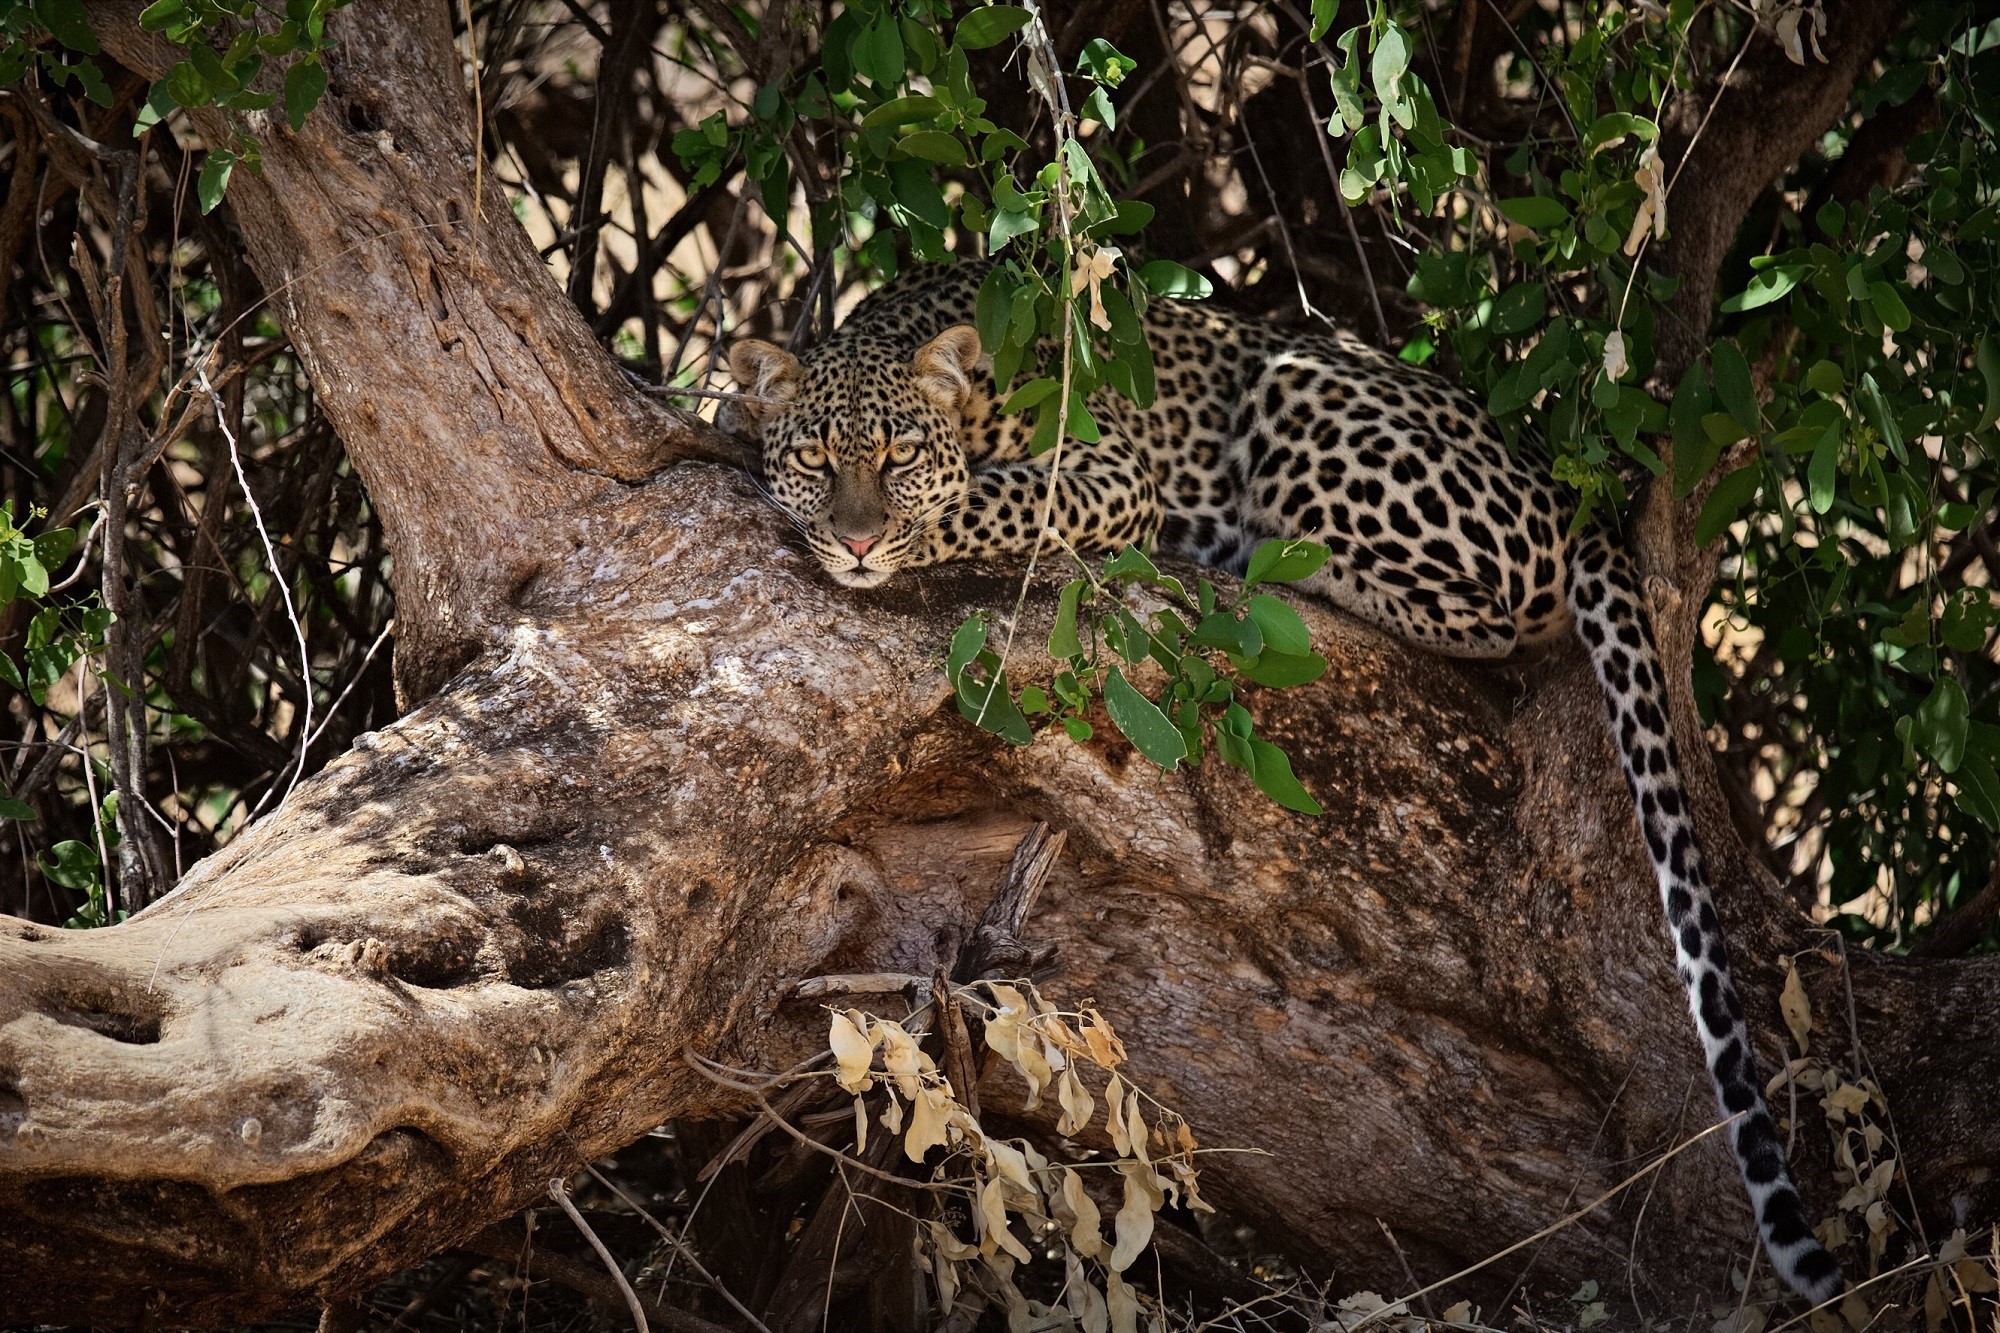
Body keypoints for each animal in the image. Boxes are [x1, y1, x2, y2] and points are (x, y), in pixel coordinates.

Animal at [725, 259, 1843, 1303]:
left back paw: (1266, 555)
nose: (858, 536)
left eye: (898, 457)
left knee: (1498, 613)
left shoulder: (1106, 467)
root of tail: (1573, 495)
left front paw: (911, 522)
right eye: (818, 457)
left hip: (1305, 393)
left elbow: (987, 496)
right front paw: (742, 425)